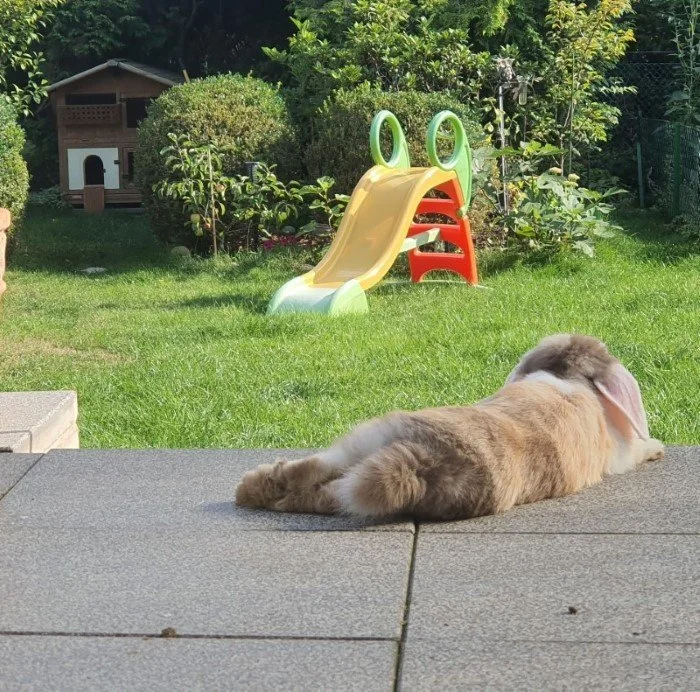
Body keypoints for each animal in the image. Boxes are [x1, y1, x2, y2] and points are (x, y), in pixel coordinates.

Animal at [235, 334, 664, 520]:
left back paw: (251, 488)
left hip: (363, 443)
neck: (571, 379)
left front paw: (655, 446)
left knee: (311, 479)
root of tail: (428, 462)